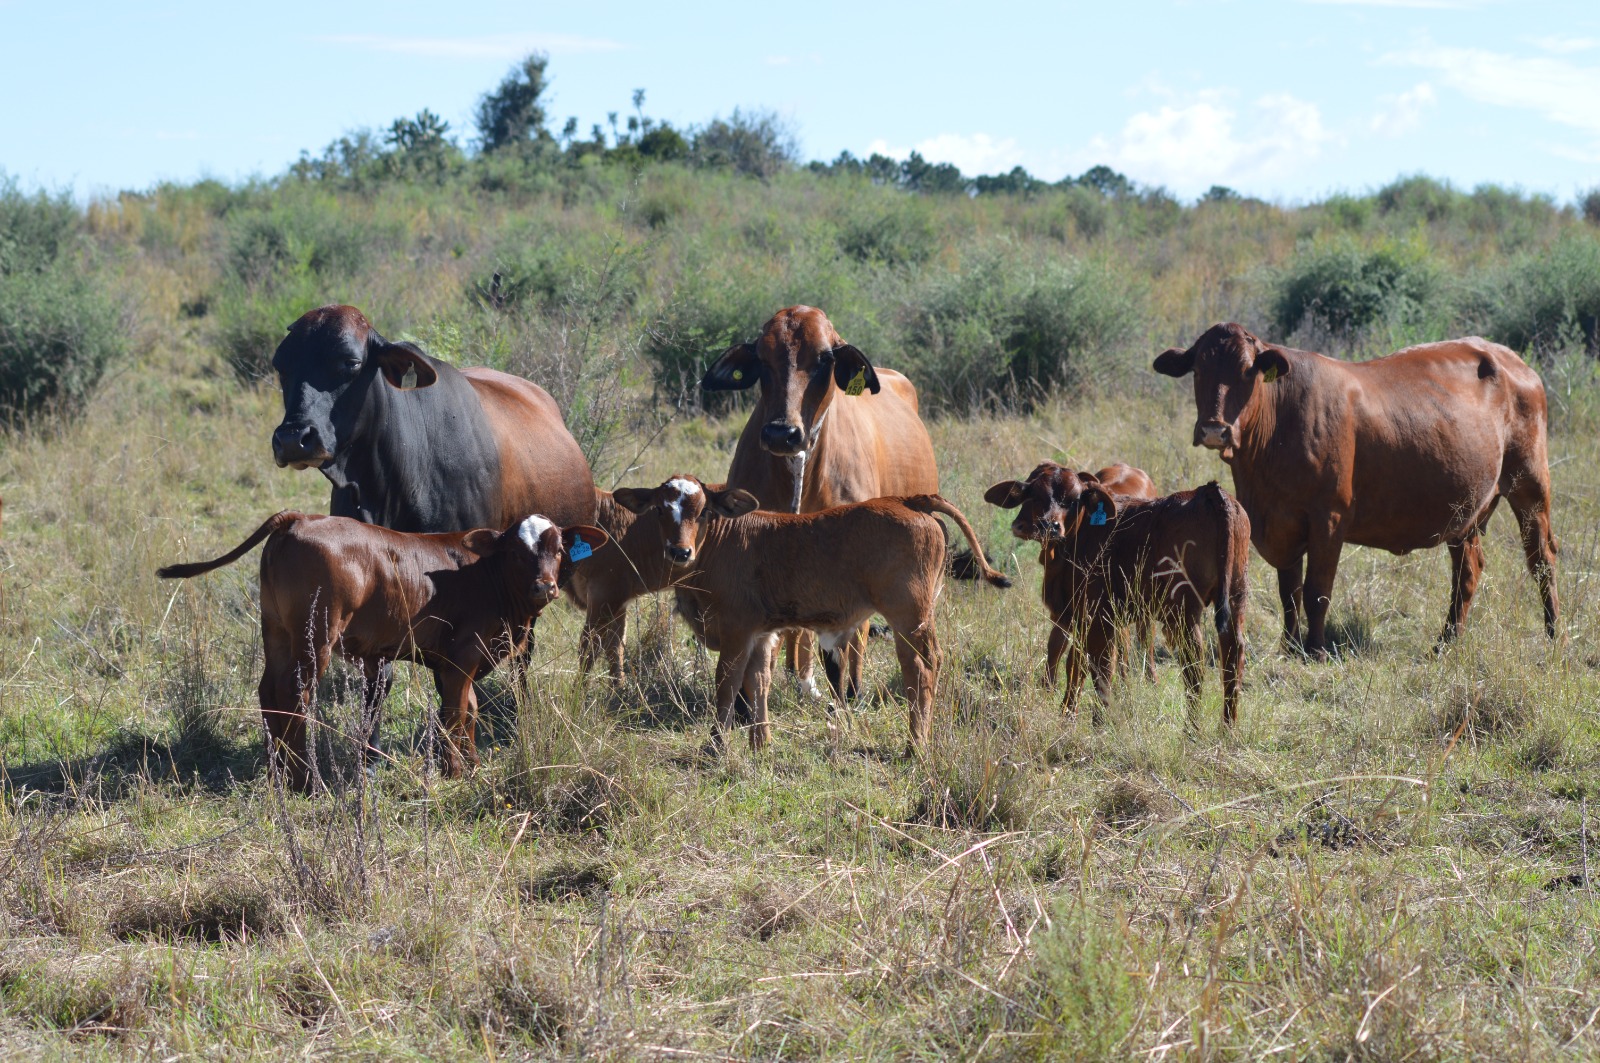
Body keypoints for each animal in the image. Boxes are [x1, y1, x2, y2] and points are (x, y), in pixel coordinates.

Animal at [157, 512, 607, 791]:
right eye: (516, 552)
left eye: (559, 550)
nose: (545, 587)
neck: (487, 577)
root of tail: (300, 518)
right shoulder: (461, 657)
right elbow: (455, 713)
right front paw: (455, 772)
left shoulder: (455, 661)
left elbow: (470, 710)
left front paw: (473, 765)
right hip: (315, 636)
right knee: (296, 694)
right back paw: (307, 783)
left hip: (277, 631)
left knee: (269, 692)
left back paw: (277, 775)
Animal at [610, 476, 1010, 752]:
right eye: (660, 510)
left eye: (704, 511)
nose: (680, 551)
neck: (722, 544)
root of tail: (906, 499)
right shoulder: (761, 633)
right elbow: (759, 683)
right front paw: (761, 744)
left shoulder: (735, 630)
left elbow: (727, 683)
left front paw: (716, 746)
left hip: (908, 615)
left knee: (921, 668)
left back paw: (916, 746)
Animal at [984, 462, 1160, 682]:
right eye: (1032, 494)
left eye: (1074, 500)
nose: (1048, 526)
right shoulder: (1061, 611)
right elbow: (1055, 650)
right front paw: (1047, 686)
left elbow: (1080, 662)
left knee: (1145, 640)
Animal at [1154, 323, 1558, 658]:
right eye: (1198, 369)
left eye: (1246, 371)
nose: (1214, 429)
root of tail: (1510, 359)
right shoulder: (1281, 521)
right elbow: (1289, 592)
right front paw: (1289, 646)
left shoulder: (1329, 517)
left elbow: (1317, 591)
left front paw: (1315, 650)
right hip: (1465, 510)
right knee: (1467, 573)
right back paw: (1445, 644)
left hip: (1530, 485)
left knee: (1542, 560)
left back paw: (1554, 638)